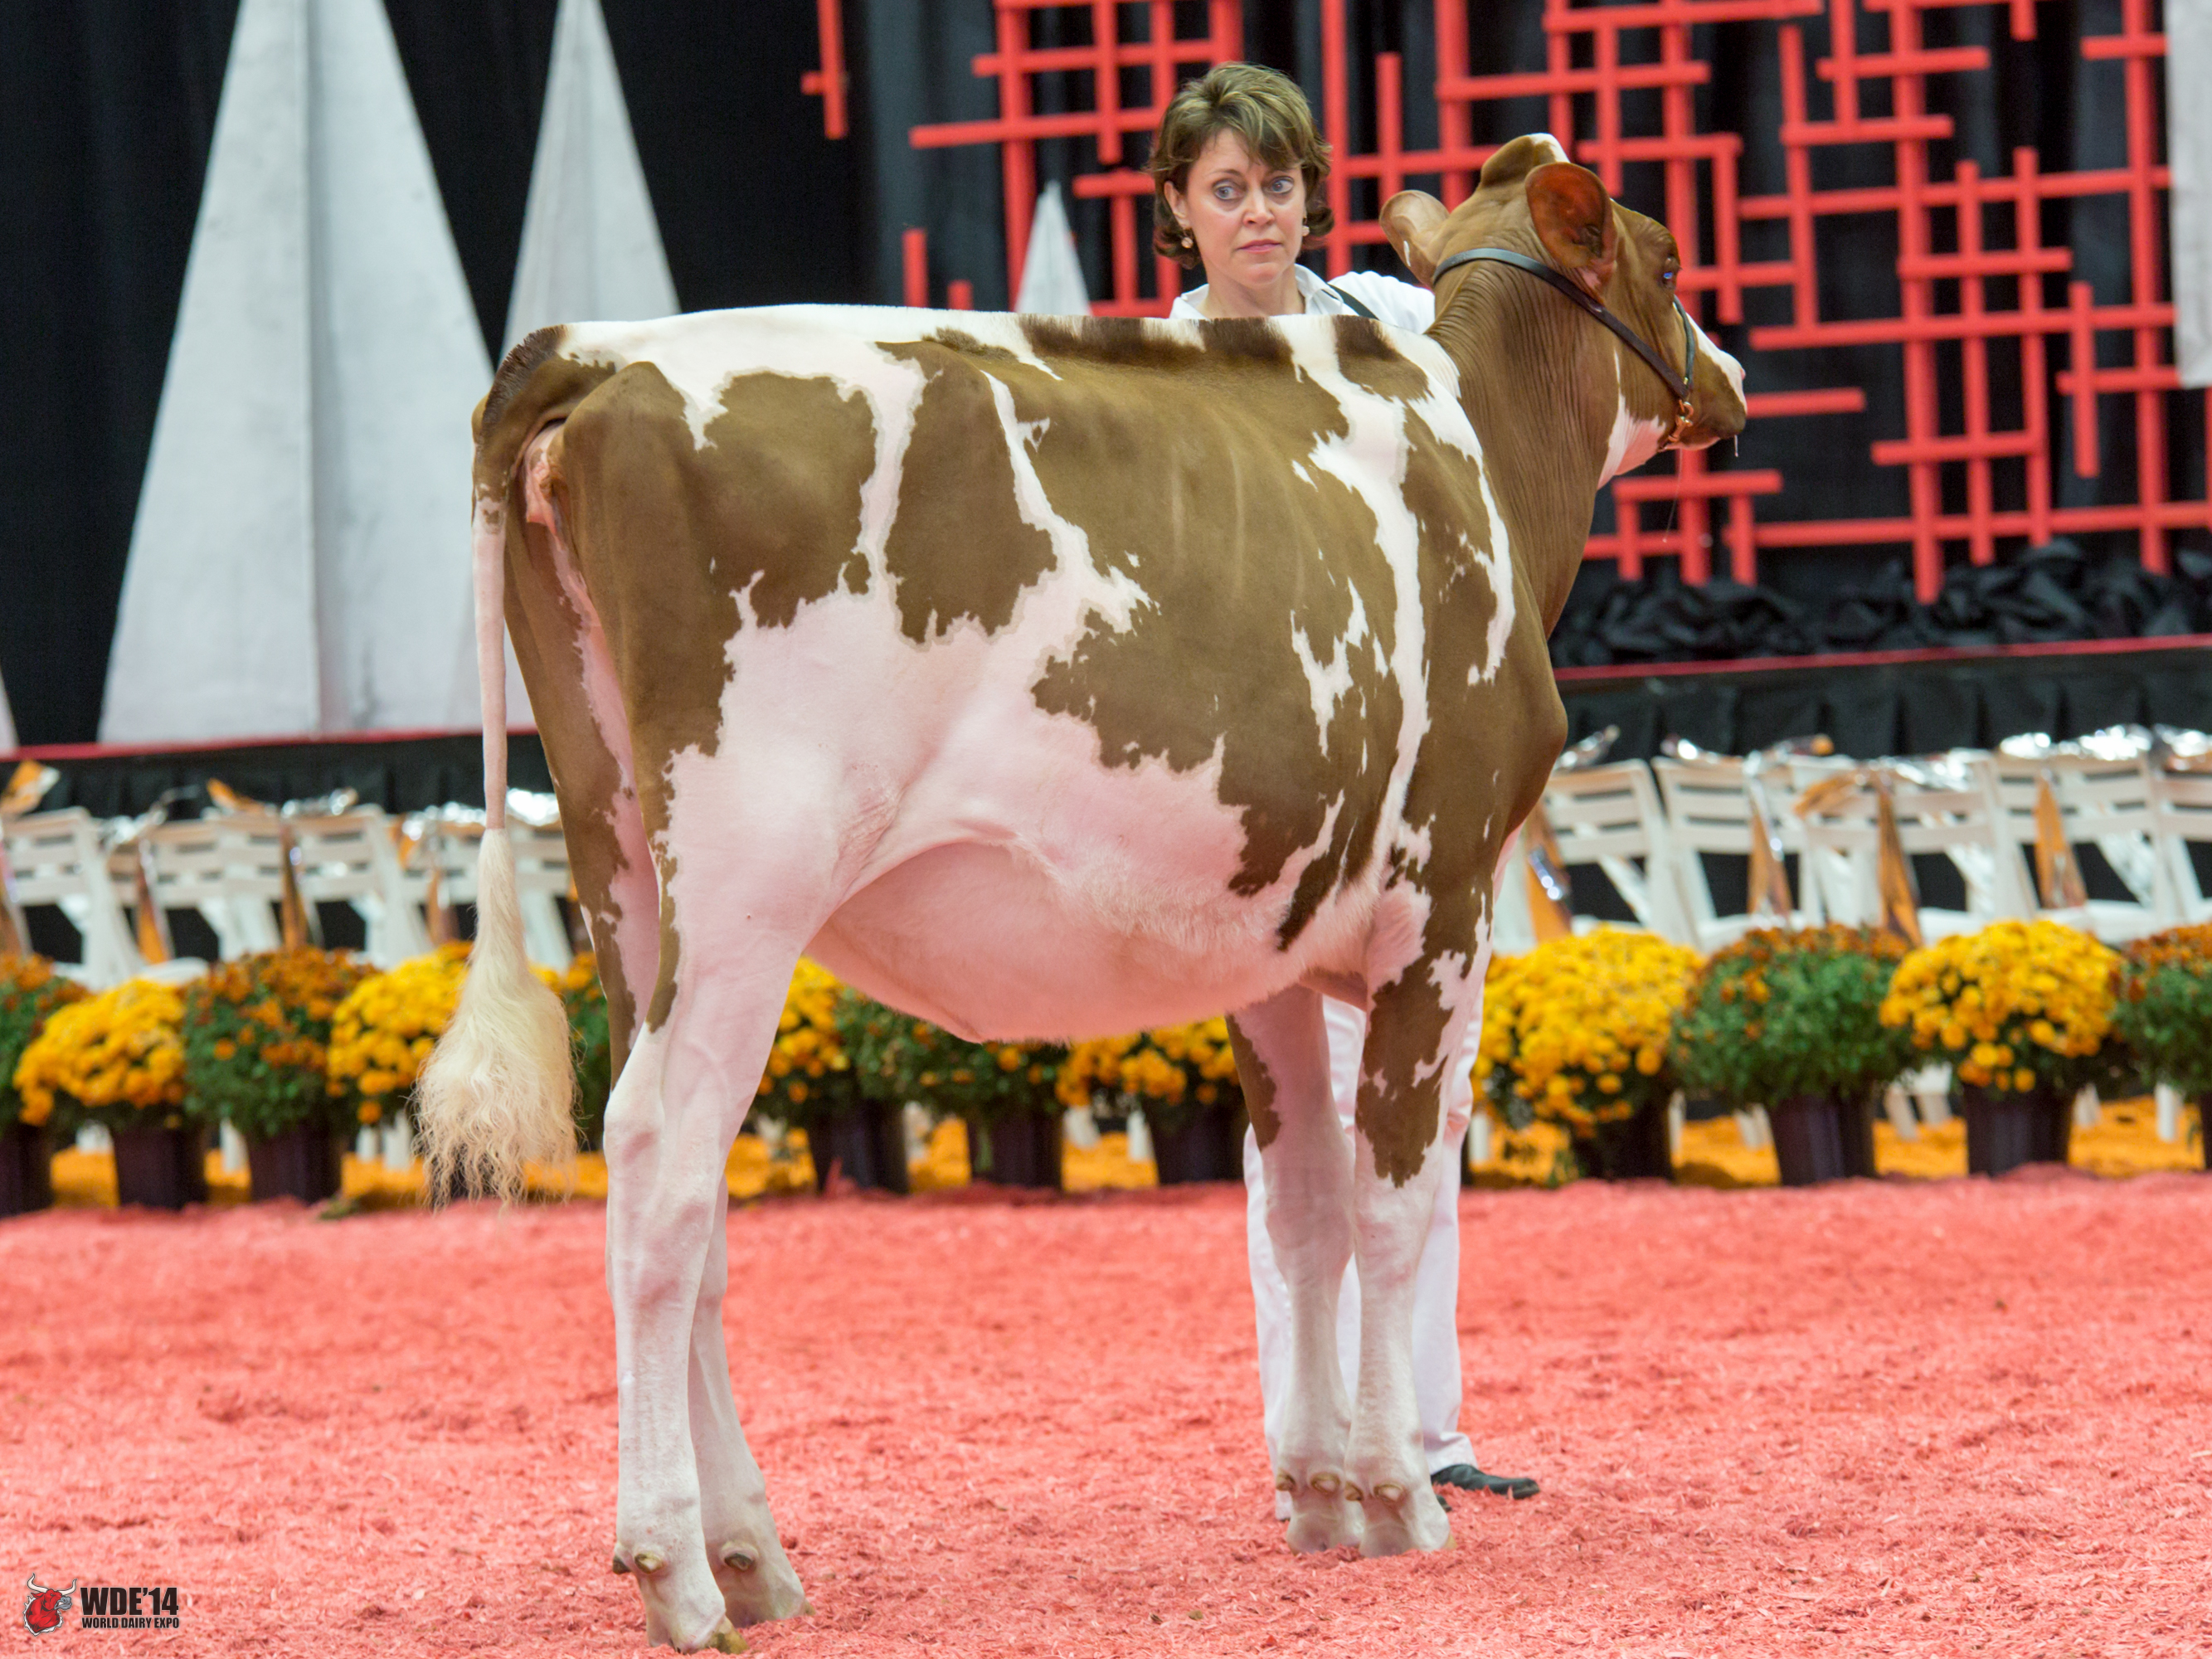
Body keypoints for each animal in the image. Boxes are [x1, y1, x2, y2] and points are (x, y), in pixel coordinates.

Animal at [417, 134, 1745, 1652]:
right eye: (1666, 260)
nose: (1729, 376)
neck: (1478, 459)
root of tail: (599, 354)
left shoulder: (1272, 941)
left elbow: (1302, 1211)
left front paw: (1316, 1495)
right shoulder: (1439, 906)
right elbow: (1392, 1204)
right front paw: (1400, 1498)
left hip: (623, 870)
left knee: (694, 1207)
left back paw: (753, 1554)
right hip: (750, 881)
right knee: (654, 1162)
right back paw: (676, 1570)